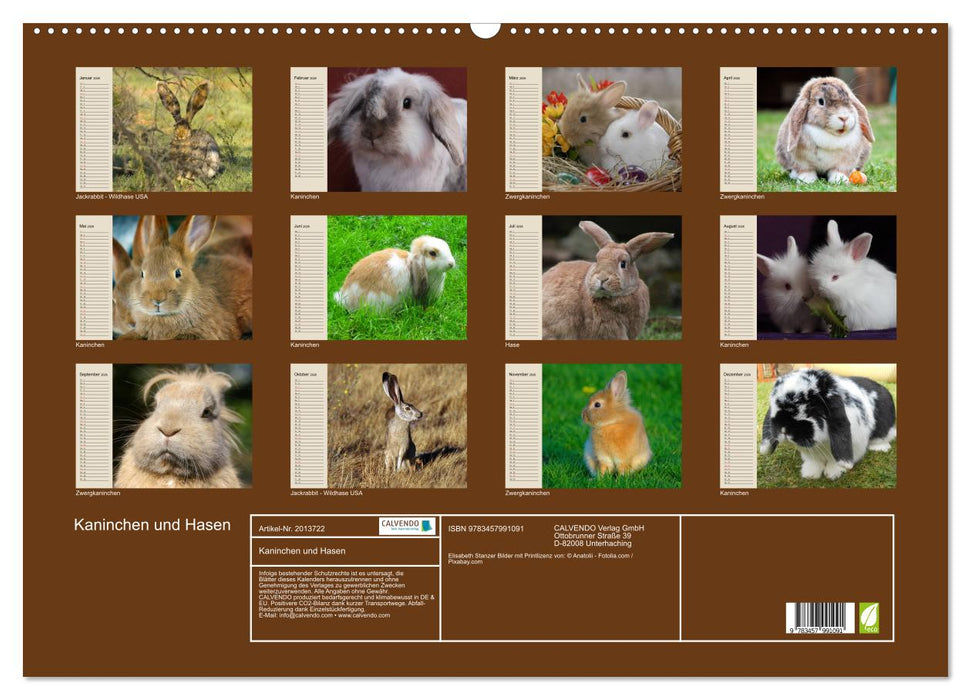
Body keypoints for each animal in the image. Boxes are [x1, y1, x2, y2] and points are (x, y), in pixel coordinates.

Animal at [760, 368, 896, 481]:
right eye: (774, 404)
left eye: (811, 409)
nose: (784, 430)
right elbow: (814, 462)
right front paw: (809, 474)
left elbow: (836, 462)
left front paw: (833, 473)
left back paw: (880, 447)